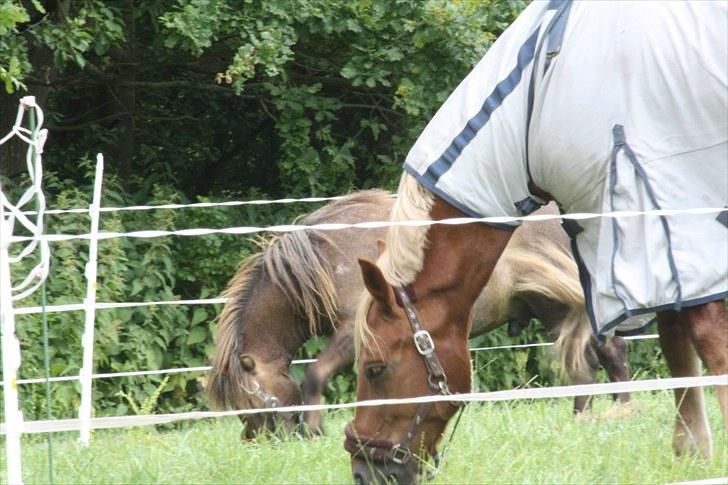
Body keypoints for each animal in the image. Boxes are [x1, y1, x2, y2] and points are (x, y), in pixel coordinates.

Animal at [208, 190, 628, 438]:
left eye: (256, 404)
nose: (259, 441)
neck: (325, 256)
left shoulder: (352, 333)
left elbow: (314, 375)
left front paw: (314, 429)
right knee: (601, 359)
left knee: (593, 361)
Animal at [350, 1, 724, 482]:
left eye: (375, 369)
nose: (362, 469)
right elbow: (678, 348)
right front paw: (691, 452)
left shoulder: (677, 227)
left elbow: (708, 346)